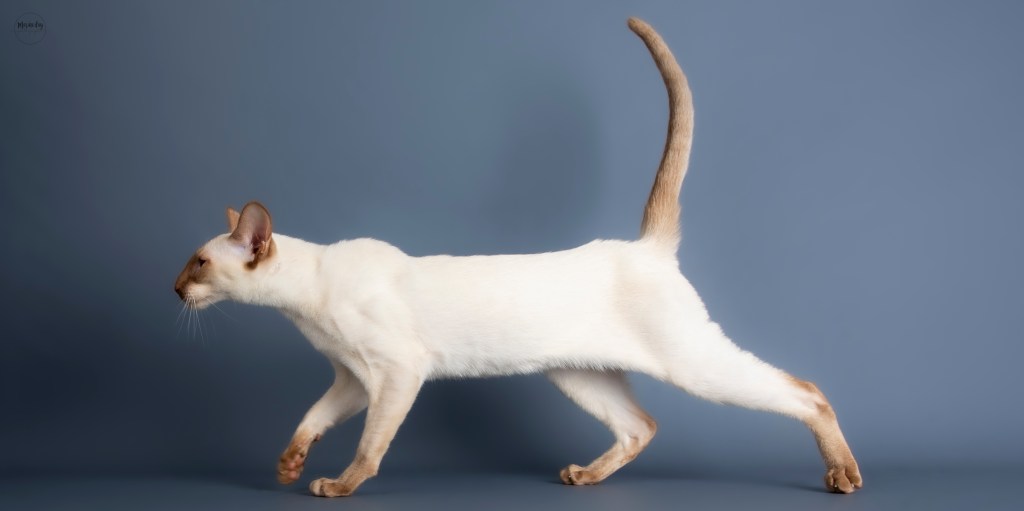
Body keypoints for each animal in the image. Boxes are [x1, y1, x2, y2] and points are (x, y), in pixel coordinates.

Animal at [174, 17, 862, 497]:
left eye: (198, 263)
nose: (175, 289)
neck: (304, 303)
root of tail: (644, 246)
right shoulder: (351, 378)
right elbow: (310, 418)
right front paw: (290, 466)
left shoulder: (396, 372)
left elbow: (370, 447)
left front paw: (339, 487)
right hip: (576, 373)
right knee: (641, 425)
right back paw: (585, 476)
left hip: (691, 363)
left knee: (805, 391)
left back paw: (844, 477)